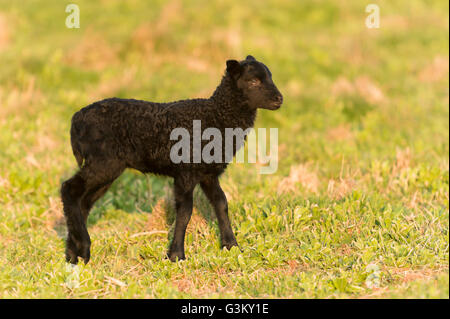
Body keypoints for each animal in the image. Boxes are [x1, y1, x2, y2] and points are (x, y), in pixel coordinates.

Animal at [61, 55, 284, 264]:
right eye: (253, 81)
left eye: (271, 76)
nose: (279, 99)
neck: (217, 117)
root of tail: (76, 119)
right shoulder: (186, 172)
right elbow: (185, 212)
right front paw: (176, 254)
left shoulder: (208, 173)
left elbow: (221, 203)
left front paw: (231, 246)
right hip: (103, 162)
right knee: (69, 189)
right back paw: (84, 246)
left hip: (106, 168)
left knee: (83, 202)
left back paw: (74, 255)